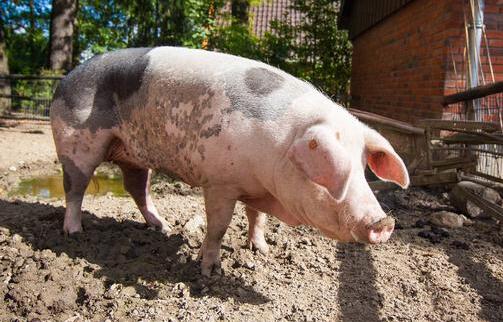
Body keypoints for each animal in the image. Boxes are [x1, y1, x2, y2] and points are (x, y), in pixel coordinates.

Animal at [51, 46, 412, 276]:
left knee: (135, 187)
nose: (385, 222)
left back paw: (163, 227)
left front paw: (262, 250)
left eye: (363, 170)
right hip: (76, 143)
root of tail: (65, 80)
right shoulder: (220, 182)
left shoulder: (255, 187)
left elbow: (257, 218)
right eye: (332, 174)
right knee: (75, 188)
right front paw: (211, 271)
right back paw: (75, 233)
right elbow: (219, 226)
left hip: (134, 155)